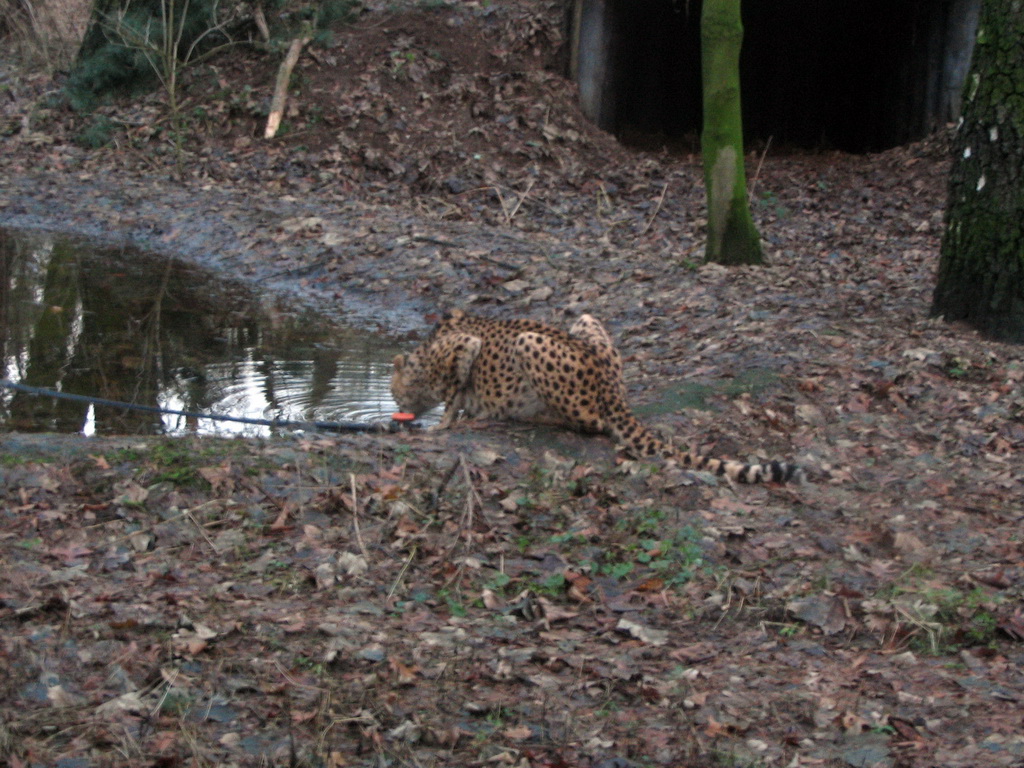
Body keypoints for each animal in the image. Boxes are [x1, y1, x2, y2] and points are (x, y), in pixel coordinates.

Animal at [391, 309, 798, 483]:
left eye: (394, 393)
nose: (395, 406)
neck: (423, 357)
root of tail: (610, 386)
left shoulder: (463, 347)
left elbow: (455, 393)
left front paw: (443, 424)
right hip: (584, 321)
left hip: (529, 341)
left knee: (591, 423)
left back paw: (535, 415)